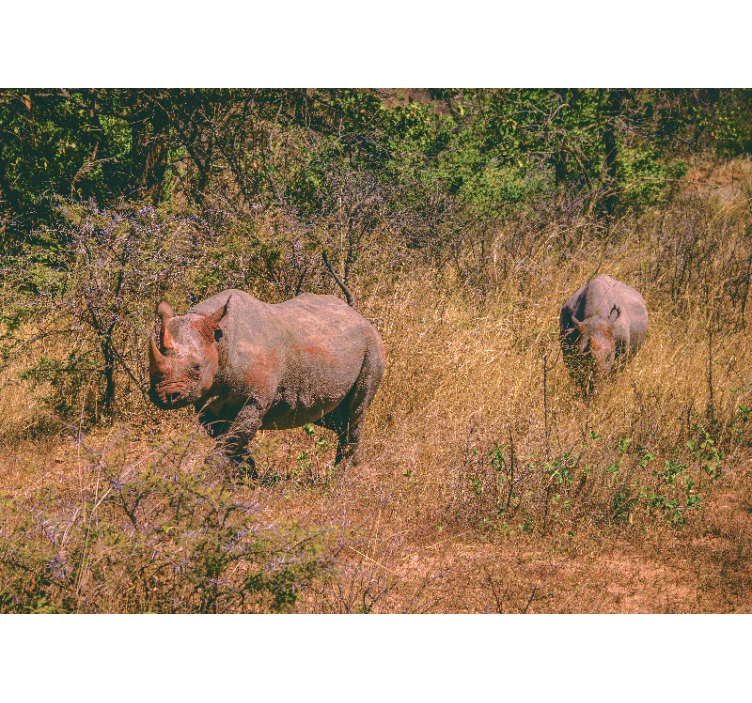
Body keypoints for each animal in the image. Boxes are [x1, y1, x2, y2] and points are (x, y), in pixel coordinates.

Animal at [148, 263, 386, 472]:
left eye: (197, 367)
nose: (164, 396)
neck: (219, 341)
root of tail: (357, 314)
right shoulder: (207, 399)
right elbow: (232, 443)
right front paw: (248, 476)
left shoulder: (255, 398)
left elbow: (233, 439)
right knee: (332, 417)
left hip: (372, 345)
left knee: (354, 412)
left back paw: (339, 479)